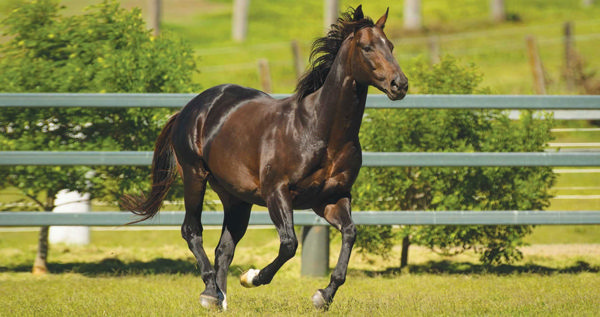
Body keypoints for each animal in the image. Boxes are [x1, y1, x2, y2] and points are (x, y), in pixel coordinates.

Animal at [125, 4, 410, 310]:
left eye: (391, 46)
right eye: (367, 47)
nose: (400, 84)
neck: (317, 130)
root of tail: (190, 108)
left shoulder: (332, 198)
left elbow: (349, 233)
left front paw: (323, 295)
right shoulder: (278, 193)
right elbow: (289, 244)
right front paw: (251, 277)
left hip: (236, 198)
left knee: (224, 247)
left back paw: (221, 299)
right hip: (194, 177)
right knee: (191, 230)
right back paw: (210, 293)